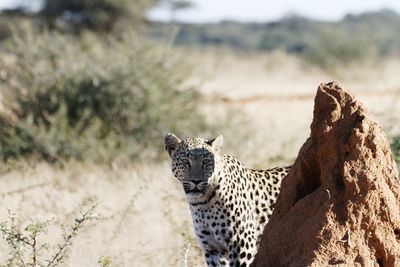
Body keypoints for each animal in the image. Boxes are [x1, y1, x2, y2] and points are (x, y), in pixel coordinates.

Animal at [164, 133, 290, 266]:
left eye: (206, 162)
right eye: (186, 161)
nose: (196, 181)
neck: (201, 203)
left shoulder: (242, 244)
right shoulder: (212, 249)